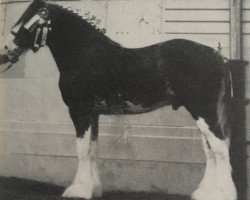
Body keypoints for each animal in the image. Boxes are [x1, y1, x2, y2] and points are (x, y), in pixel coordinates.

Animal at [0, 0, 241, 200]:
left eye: (27, 22)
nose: (5, 52)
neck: (84, 54)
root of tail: (217, 56)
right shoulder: (93, 114)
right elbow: (92, 149)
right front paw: (93, 188)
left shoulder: (79, 112)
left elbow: (82, 150)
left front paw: (78, 190)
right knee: (211, 150)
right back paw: (205, 194)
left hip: (203, 111)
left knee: (220, 148)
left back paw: (223, 194)